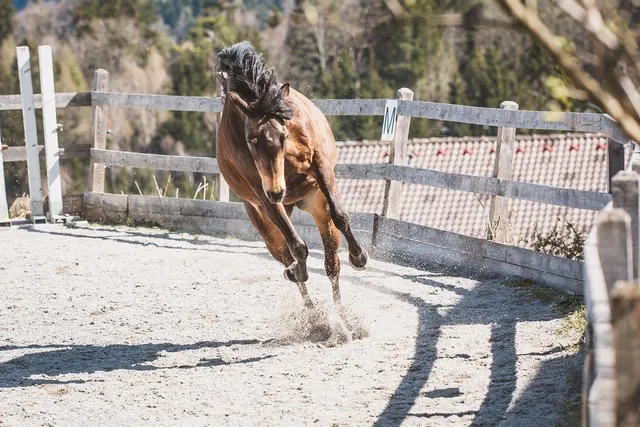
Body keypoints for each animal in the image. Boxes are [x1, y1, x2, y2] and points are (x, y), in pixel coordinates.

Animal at [215, 41, 369, 308]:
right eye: (250, 141)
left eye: (283, 136)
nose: (278, 192)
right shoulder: (262, 193)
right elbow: (297, 247)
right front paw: (298, 271)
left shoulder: (320, 164)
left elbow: (340, 216)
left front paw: (359, 257)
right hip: (267, 227)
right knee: (287, 257)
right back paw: (310, 305)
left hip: (317, 207)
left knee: (332, 265)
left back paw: (339, 312)